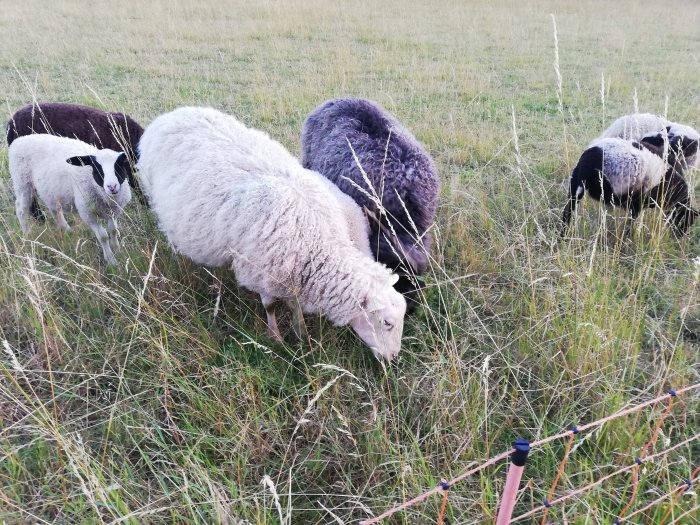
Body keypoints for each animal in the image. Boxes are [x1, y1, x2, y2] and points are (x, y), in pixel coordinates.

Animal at [8, 133, 133, 264]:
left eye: (118, 166)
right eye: (97, 168)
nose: (112, 186)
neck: (106, 198)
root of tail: (19, 140)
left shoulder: (114, 211)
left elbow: (113, 230)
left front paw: (118, 251)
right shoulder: (88, 214)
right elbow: (103, 236)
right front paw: (111, 260)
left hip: (49, 190)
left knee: (55, 210)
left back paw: (68, 231)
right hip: (22, 182)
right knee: (21, 210)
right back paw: (28, 235)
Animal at [137, 106, 408, 360]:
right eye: (387, 323)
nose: (394, 358)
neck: (323, 242)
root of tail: (170, 115)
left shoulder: (294, 276)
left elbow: (296, 307)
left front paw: (301, 334)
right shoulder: (263, 272)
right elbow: (270, 307)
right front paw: (276, 337)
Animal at [564, 136, 700, 234]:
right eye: (686, 220)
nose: (680, 236)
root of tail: (589, 158)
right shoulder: (636, 205)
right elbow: (630, 224)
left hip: (575, 187)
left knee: (567, 212)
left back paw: (563, 235)